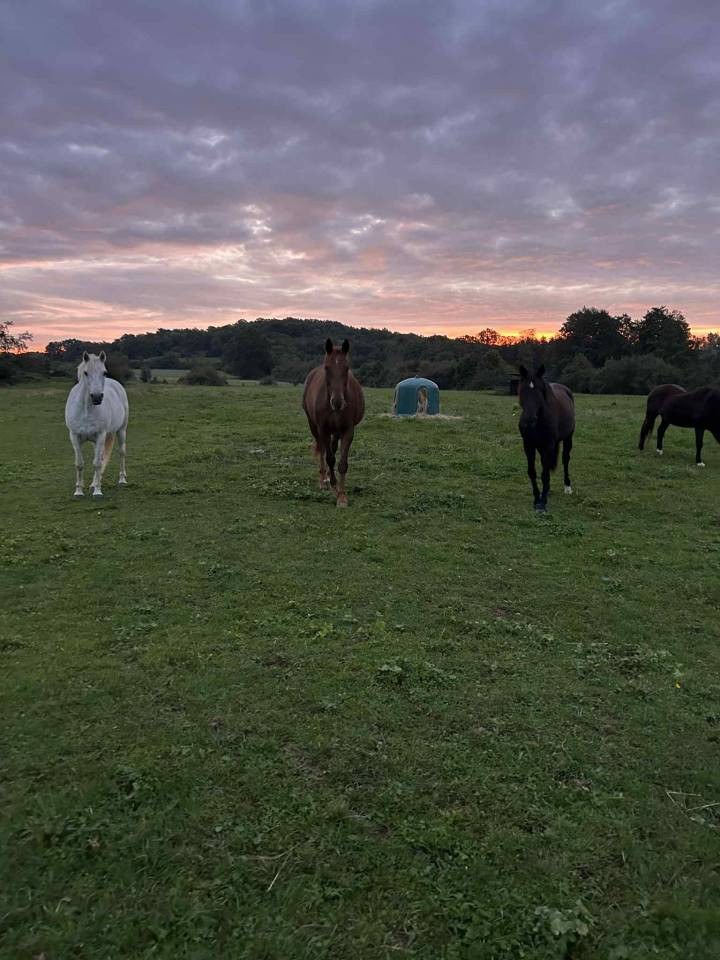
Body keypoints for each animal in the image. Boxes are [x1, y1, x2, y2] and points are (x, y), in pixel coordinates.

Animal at [65, 351, 129, 498]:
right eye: (86, 373)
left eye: (104, 372)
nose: (97, 397)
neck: (86, 410)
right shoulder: (74, 437)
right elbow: (79, 464)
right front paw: (78, 491)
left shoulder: (100, 435)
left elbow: (98, 464)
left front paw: (98, 492)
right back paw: (94, 483)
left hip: (121, 431)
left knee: (121, 453)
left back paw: (122, 479)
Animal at [302, 338, 365, 507]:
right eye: (327, 368)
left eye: (346, 368)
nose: (337, 402)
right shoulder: (323, 429)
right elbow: (329, 457)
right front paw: (332, 483)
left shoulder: (348, 431)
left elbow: (342, 463)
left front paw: (342, 496)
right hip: (314, 427)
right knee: (323, 450)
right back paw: (324, 480)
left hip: (335, 431)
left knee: (332, 447)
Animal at [517, 364, 575, 512]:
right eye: (523, 390)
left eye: (539, 392)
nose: (529, 421)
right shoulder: (528, 445)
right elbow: (532, 472)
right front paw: (537, 499)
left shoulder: (548, 444)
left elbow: (544, 474)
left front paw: (542, 503)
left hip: (568, 438)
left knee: (565, 459)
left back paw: (567, 487)